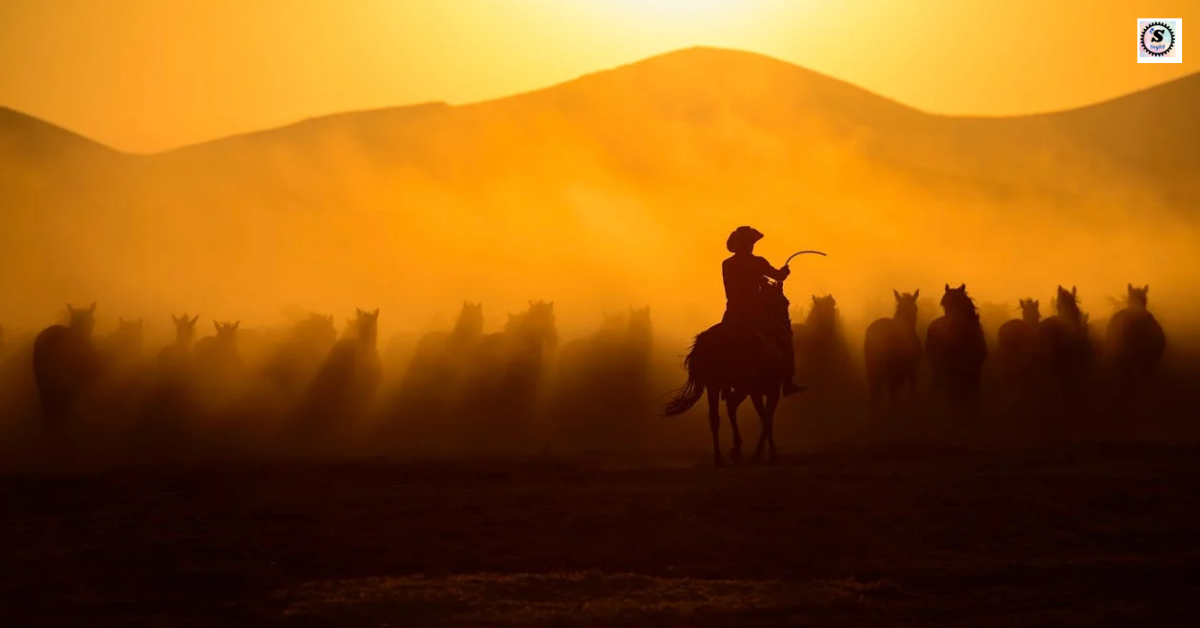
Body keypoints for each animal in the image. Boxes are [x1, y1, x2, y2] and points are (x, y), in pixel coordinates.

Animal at [662, 279, 792, 465]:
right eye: (785, 302)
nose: (787, 326)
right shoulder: (771, 391)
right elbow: (767, 420)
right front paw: (770, 454)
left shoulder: (758, 392)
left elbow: (764, 418)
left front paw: (762, 453)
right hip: (742, 385)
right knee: (731, 404)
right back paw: (736, 448)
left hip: (714, 384)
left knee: (715, 417)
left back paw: (719, 458)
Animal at [921, 282, 988, 415]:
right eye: (944, 304)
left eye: (961, 303)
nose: (952, 324)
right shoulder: (950, 373)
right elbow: (953, 398)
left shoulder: (975, 372)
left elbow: (974, 397)